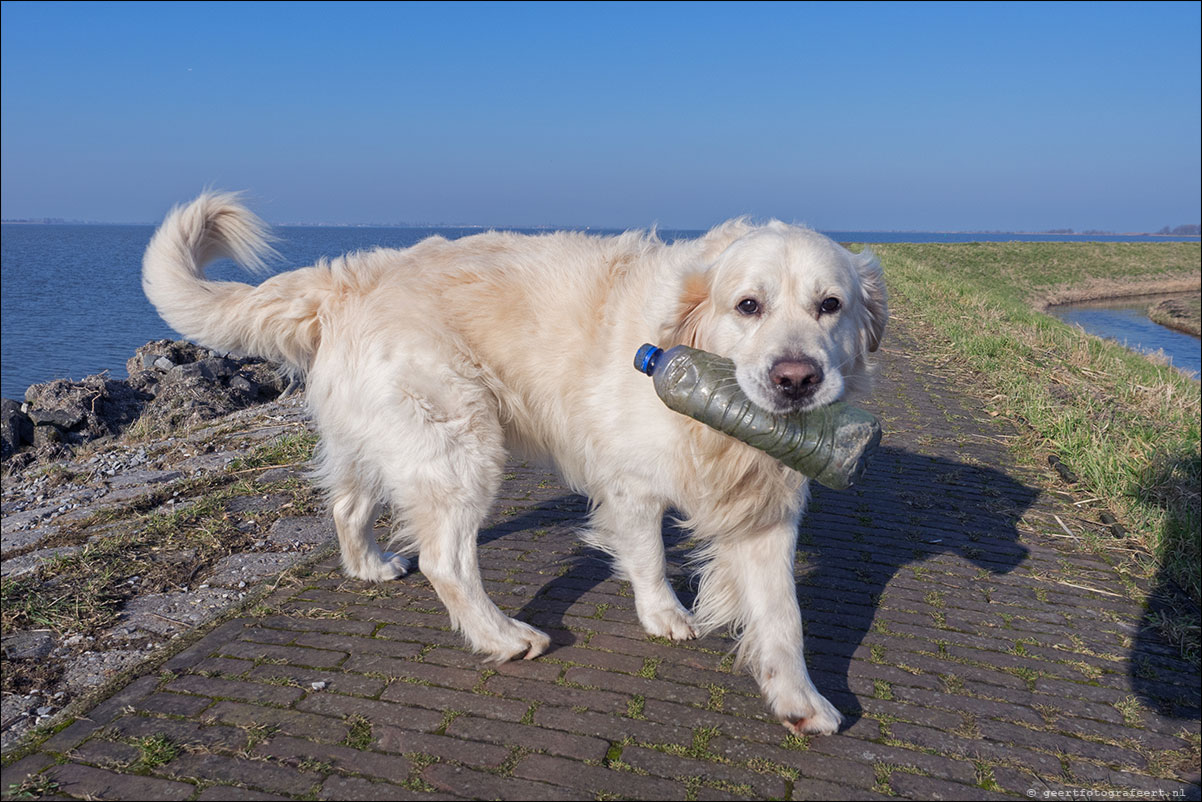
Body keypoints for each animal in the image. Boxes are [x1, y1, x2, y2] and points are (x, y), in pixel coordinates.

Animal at [145, 192, 889, 735]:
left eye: (831, 306)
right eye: (748, 306)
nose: (797, 379)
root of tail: (346, 277)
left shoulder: (769, 509)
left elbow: (783, 614)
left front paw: (800, 699)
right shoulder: (631, 480)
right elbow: (647, 554)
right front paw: (665, 616)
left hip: (380, 437)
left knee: (347, 503)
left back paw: (370, 567)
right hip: (461, 442)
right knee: (446, 560)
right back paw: (502, 636)